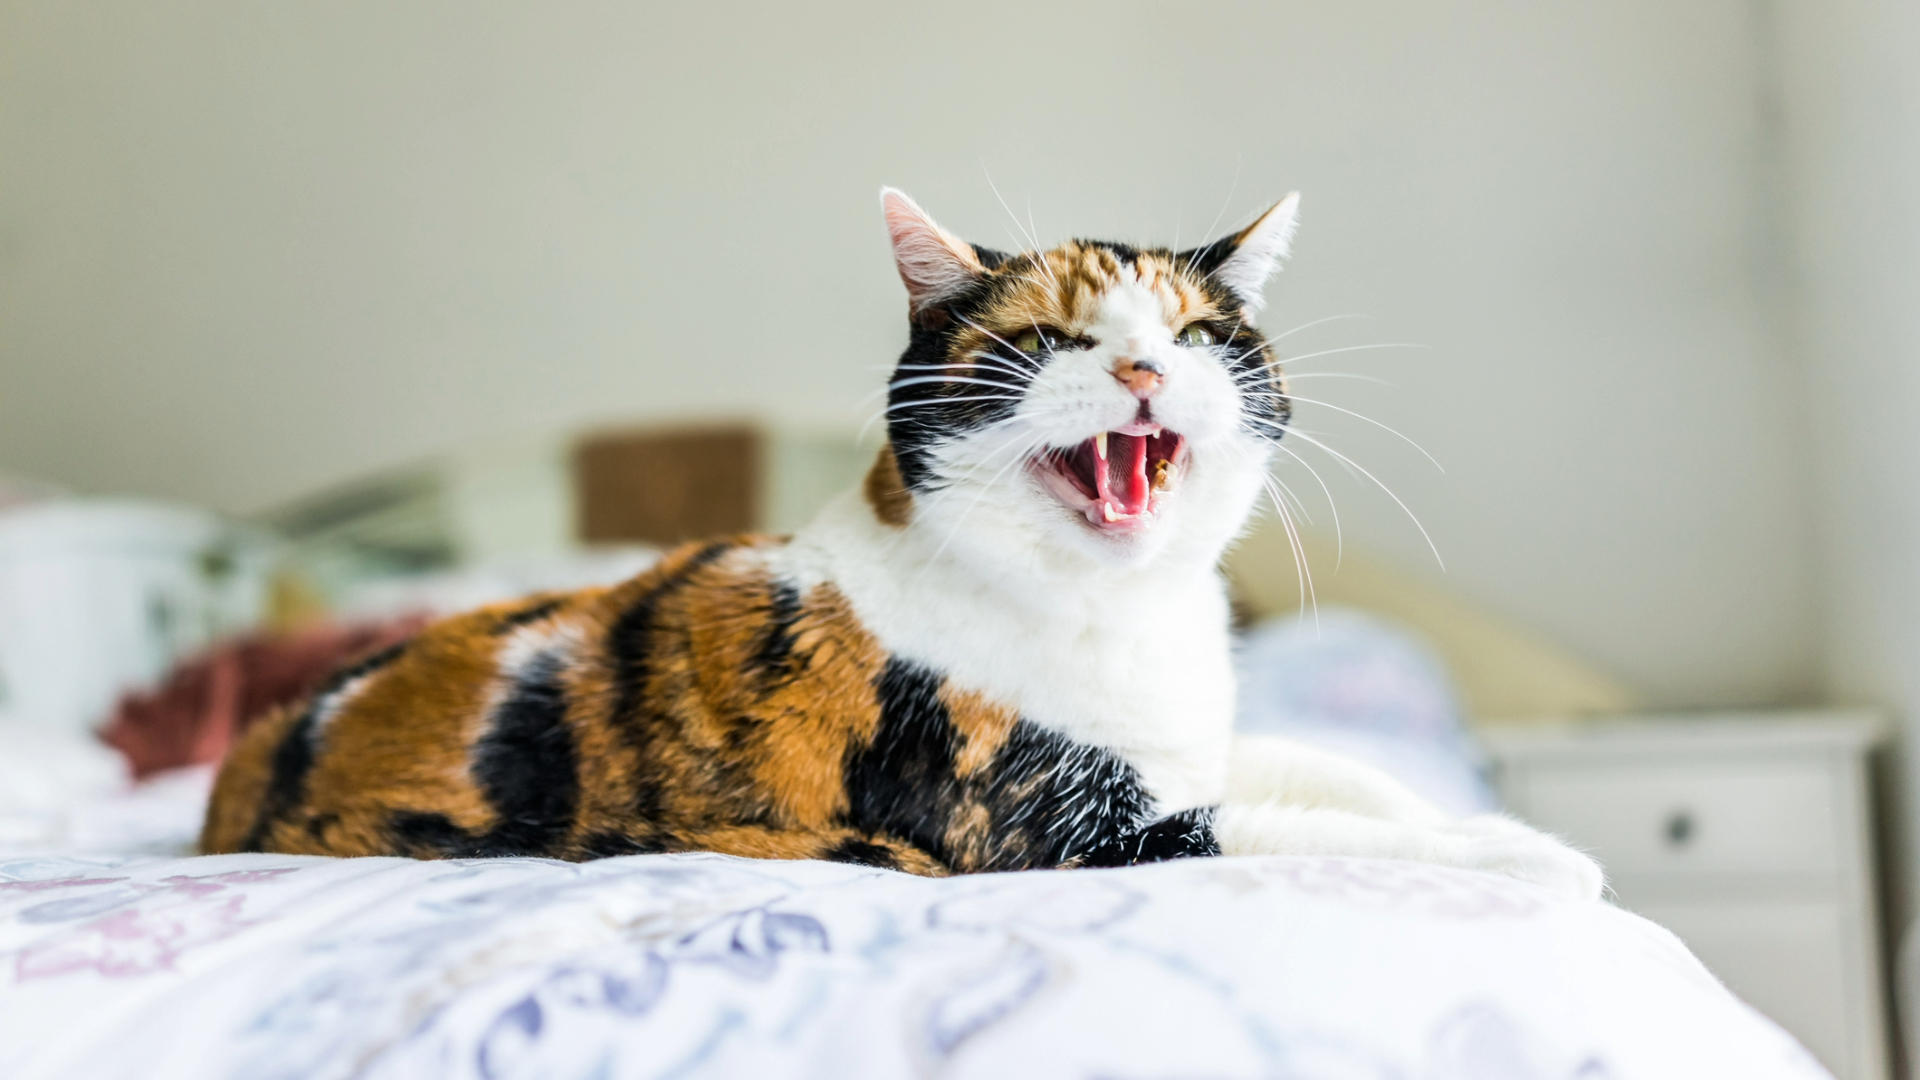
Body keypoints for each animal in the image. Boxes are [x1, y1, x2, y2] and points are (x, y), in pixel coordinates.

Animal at [198, 189, 1605, 895]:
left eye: (1200, 333)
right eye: (1049, 340)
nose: (1144, 368)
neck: (1115, 615)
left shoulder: (1190, 749)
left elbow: (1338, 774)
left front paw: (1488, 823)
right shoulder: (1050, 829)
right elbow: (1288, 831)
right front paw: (1522, 855)